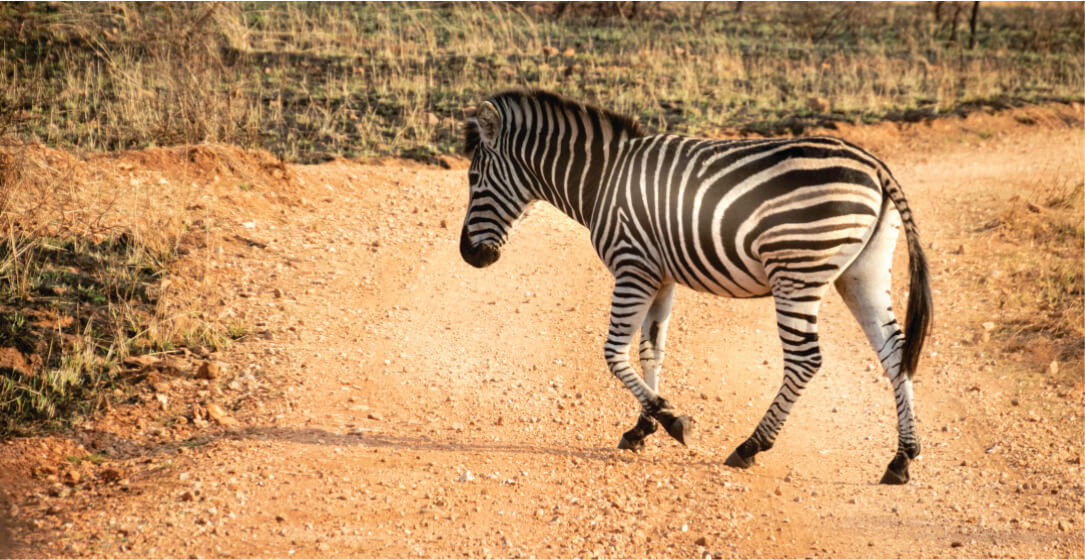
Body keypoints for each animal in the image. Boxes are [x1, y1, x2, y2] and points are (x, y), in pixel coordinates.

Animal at [459, 89, 932, 484]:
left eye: (473, 179)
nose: (467, 256)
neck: (602, 180)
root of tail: (874, 165)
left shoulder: (633, 266)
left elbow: (613, 353)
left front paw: (671, 420)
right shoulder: (659, 276)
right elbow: (651, 350)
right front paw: (643, 426)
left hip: (796, 270)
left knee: (805, 360)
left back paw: (751, 446)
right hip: (863, 272)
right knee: (895, 352)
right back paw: (902, 459)